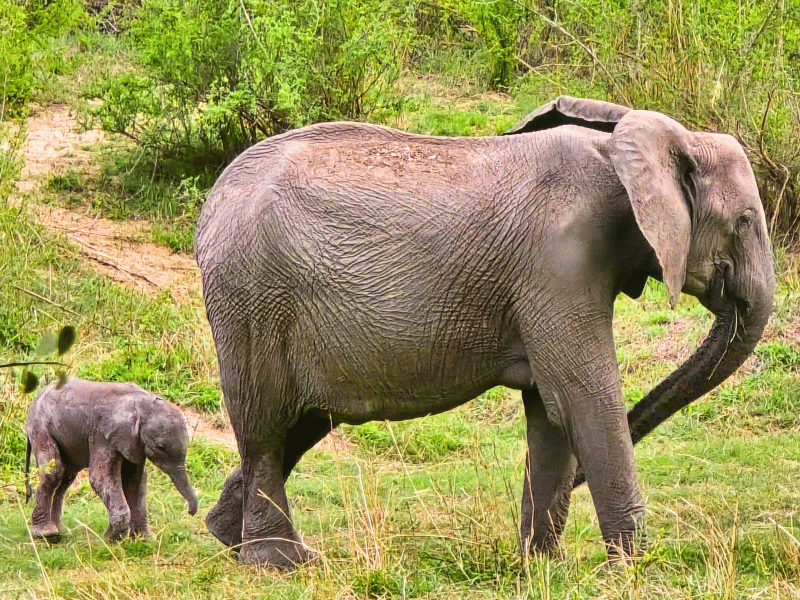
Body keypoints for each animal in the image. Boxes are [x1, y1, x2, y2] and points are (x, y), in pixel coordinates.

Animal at [25, 378, 199, 541]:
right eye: (161, 446)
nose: (191, 512)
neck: (143, 405)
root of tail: (39, 394)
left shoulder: (135, 443)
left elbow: (134, 481)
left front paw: (145, 539)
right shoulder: (102, 434)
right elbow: (101, 479)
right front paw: (111, 539)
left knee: (67, 476)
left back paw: (61, 531)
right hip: (40, 426)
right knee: (55, 471)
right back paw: (46, 533)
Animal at [194, 95, 774, 569]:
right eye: (745, 221)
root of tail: (212, 203)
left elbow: (550, 412)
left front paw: (543, 567)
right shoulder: (559, 265)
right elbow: (582, 398)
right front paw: (630, 571)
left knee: (301, 421)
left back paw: (227, 534)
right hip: (252, 297)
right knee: (266, 425)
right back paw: (281, 562)